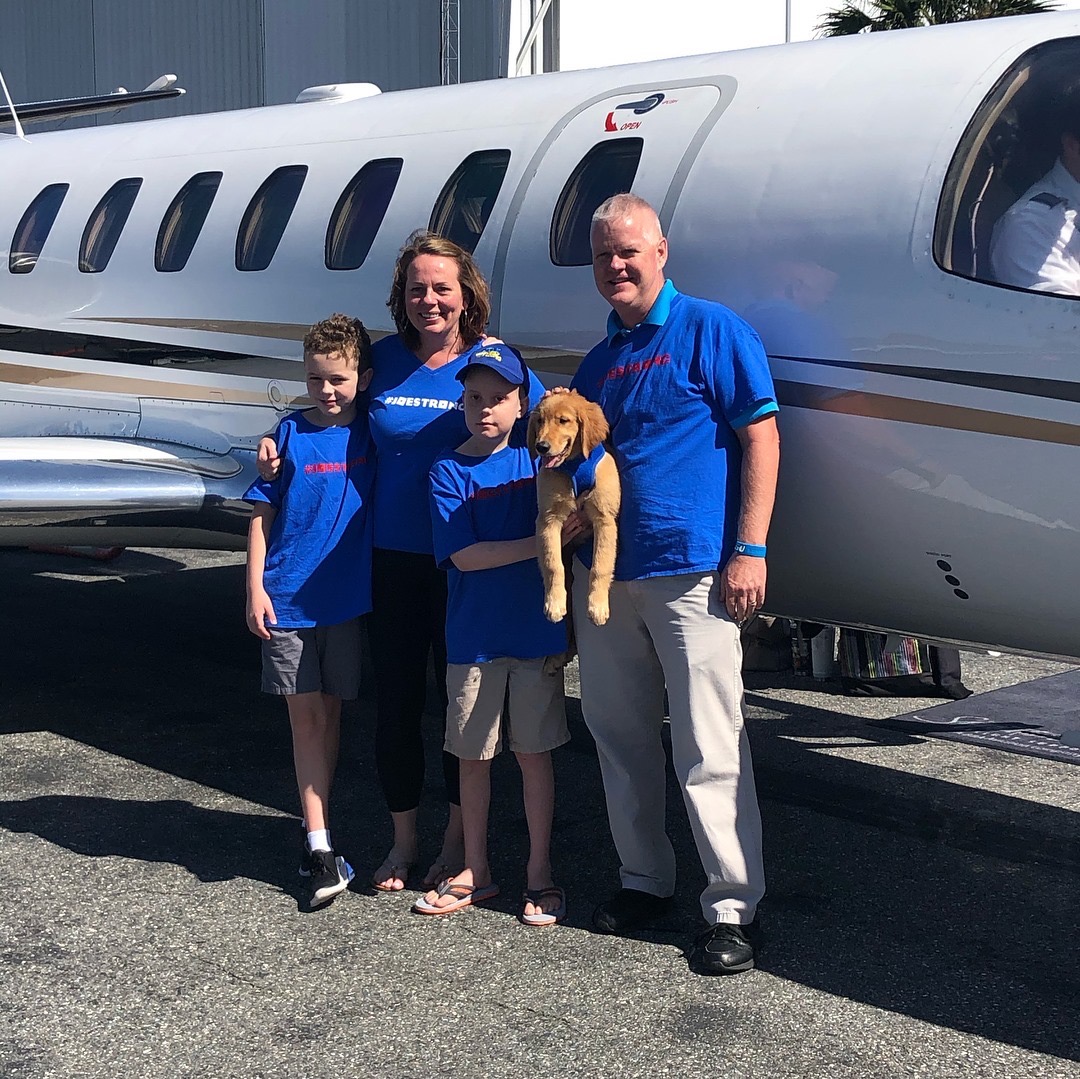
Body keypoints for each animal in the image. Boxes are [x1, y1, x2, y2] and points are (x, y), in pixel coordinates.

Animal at [527, 390, 622, 626]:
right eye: (539, 421)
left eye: (563, 420)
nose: (541, 447)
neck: (574, 465)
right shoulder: (548, 519)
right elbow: (553, 564)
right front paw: (554, 603)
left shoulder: (605, 519)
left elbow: (600, 564)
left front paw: (597, 605)